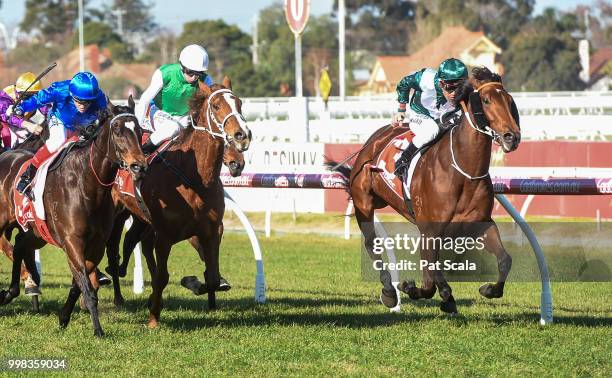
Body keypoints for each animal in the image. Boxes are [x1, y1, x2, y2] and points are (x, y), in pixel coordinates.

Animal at [0, 98, 146, 336]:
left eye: (140, 130)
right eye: (117, 130)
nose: (139, 166)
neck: (87, 185)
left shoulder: (96, 244)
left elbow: (80, 284)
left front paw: (64, 317)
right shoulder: (72, 241)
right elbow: (86, 285)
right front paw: (98, 330)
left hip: (37, 233)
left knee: (20, 245)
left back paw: (12, 291)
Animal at [110, 77, 251, 328]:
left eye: (239, 103)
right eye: (216, 106)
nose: (241, 135)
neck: (195, 178)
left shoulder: (211, 230)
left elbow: (212, 278)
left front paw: (193, 282)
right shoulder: (165, 234)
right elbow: (163, 276)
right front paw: (153, 318)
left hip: (142, 220)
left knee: (137, 243)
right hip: (116, 215)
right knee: (113, 250)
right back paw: (115, 294)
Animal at [330, 67, 520, 314]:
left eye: (509, 100)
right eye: (486, 100)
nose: (512, 137)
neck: (463, 171)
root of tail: (372, 141)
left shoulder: (480, 224)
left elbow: (505, 260)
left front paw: (488, 289)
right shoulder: (430, 231)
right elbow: (432, 279)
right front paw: (416, 289)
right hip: (364, 203)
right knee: (372, 244)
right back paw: (389, 291)